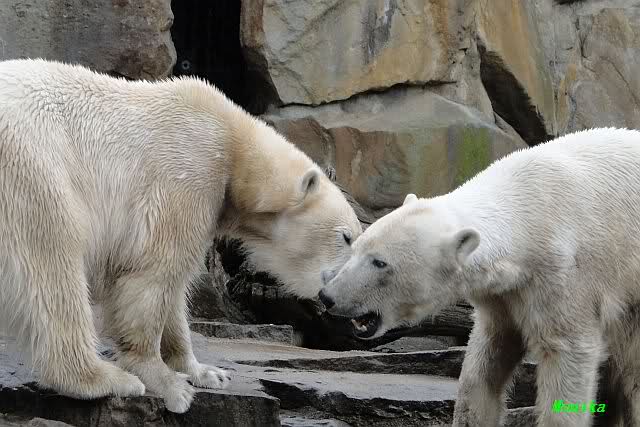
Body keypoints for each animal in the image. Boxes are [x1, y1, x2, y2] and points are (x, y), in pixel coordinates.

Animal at [0, 59, 362, 413]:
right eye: (347, 237)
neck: (233, 143)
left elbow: (174, 293)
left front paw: (206, 372)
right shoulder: (188, 173)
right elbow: (154, 272)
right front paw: (170, 385)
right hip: (33, 165)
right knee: (53, 257)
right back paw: (104, 379)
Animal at [318, 127, 640, 427]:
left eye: (380, 262)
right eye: (355, 246)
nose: (328, 297)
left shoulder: (565, 275)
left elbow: (567, 351)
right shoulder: (503, 294)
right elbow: (486, 358)